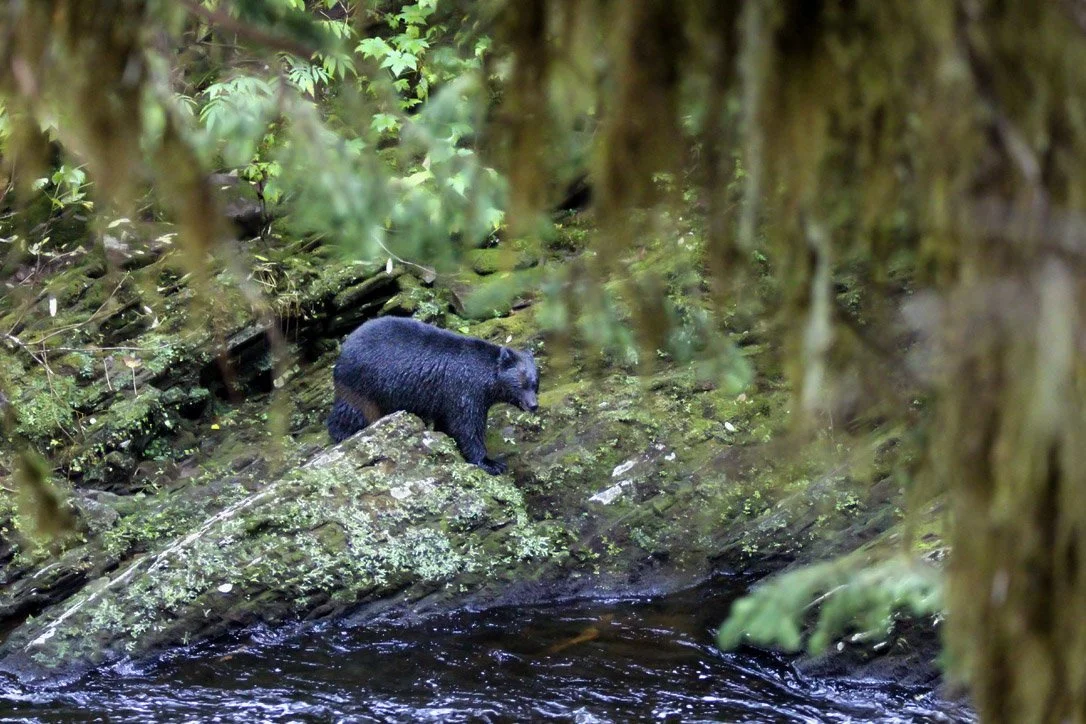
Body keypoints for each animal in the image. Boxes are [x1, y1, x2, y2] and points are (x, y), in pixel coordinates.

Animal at [327, 316, 539, 475]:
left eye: (535, 383)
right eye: (521, 383)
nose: (533, 405)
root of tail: (345, 347)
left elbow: (448, 423)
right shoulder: (465, 390)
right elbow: (467, 426)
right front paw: (491, 463)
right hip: (362, 386)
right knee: (351, 413)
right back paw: (342, 435)